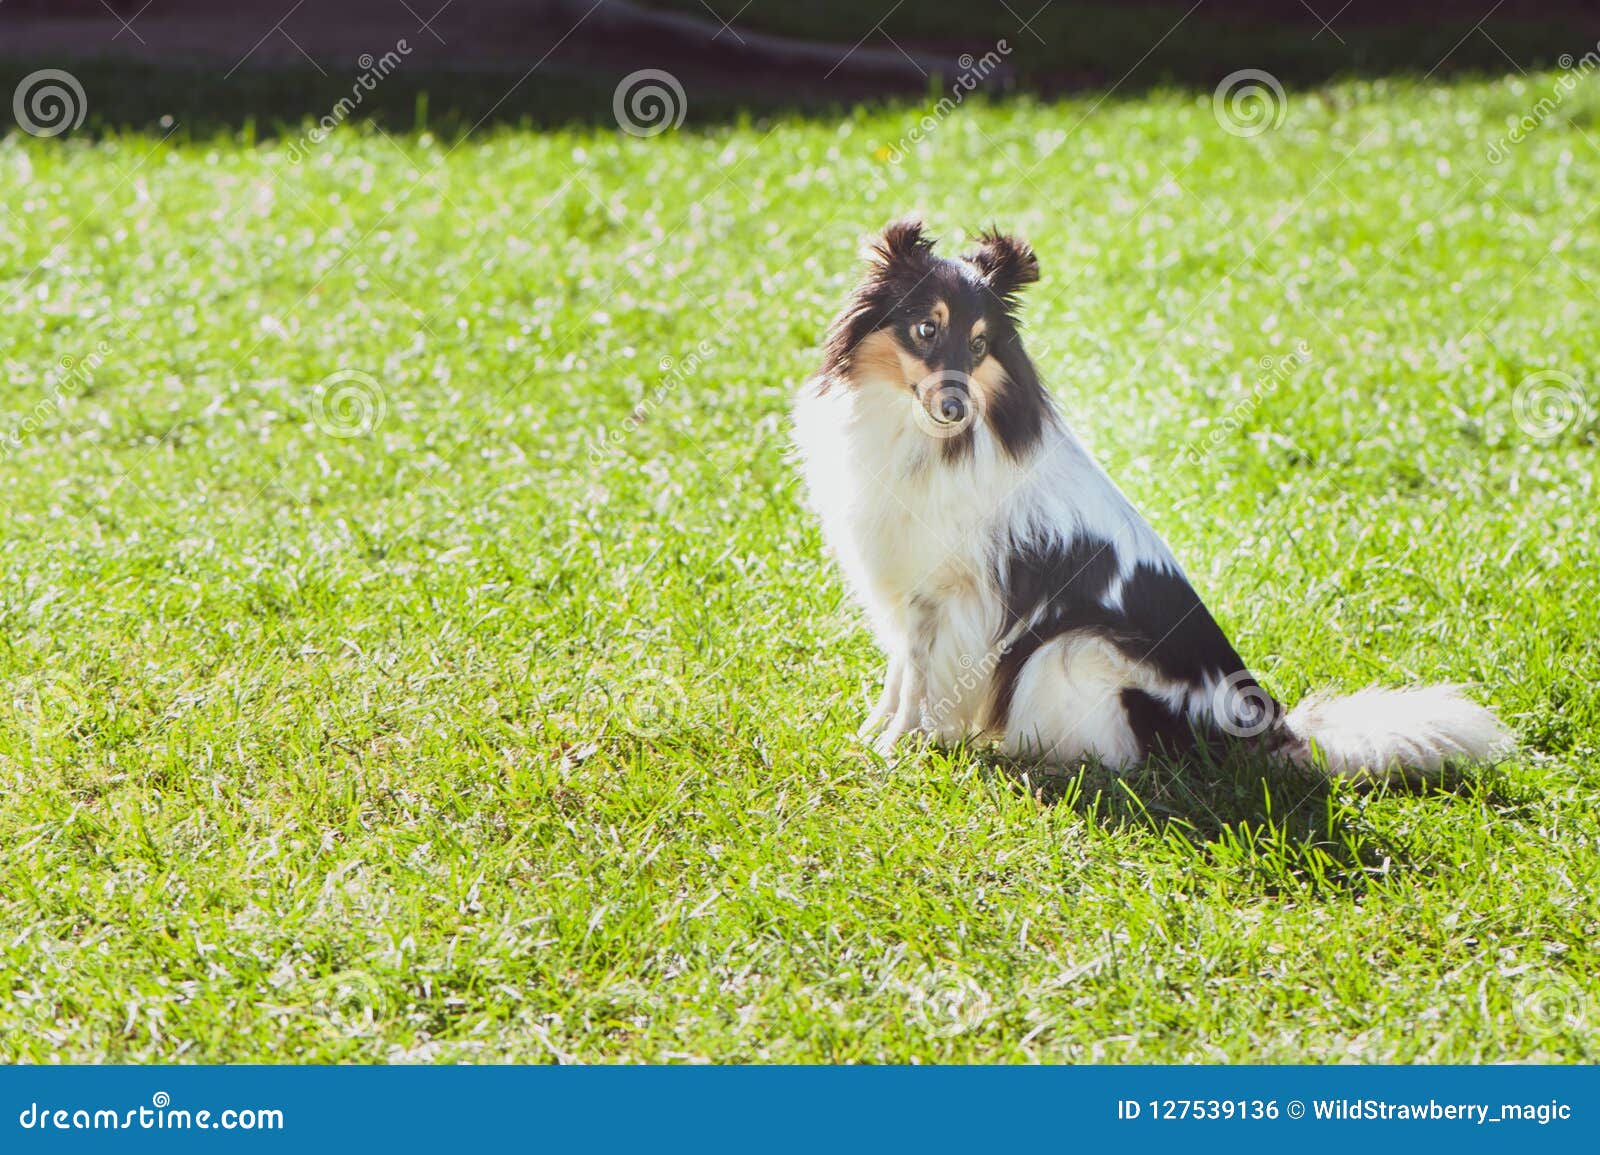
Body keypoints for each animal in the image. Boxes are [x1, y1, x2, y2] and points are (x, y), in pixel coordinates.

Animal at [790, 220, 1510, 777]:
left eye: (978, 345)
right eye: (923, 330)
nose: (954, 407)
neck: (920, 435)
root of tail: (1265, 726)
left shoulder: (948, 596)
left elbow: (919, 681)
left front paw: (897, 749)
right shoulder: (901, 585)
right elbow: (898, 674)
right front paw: (871, 735)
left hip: (1070, 649)